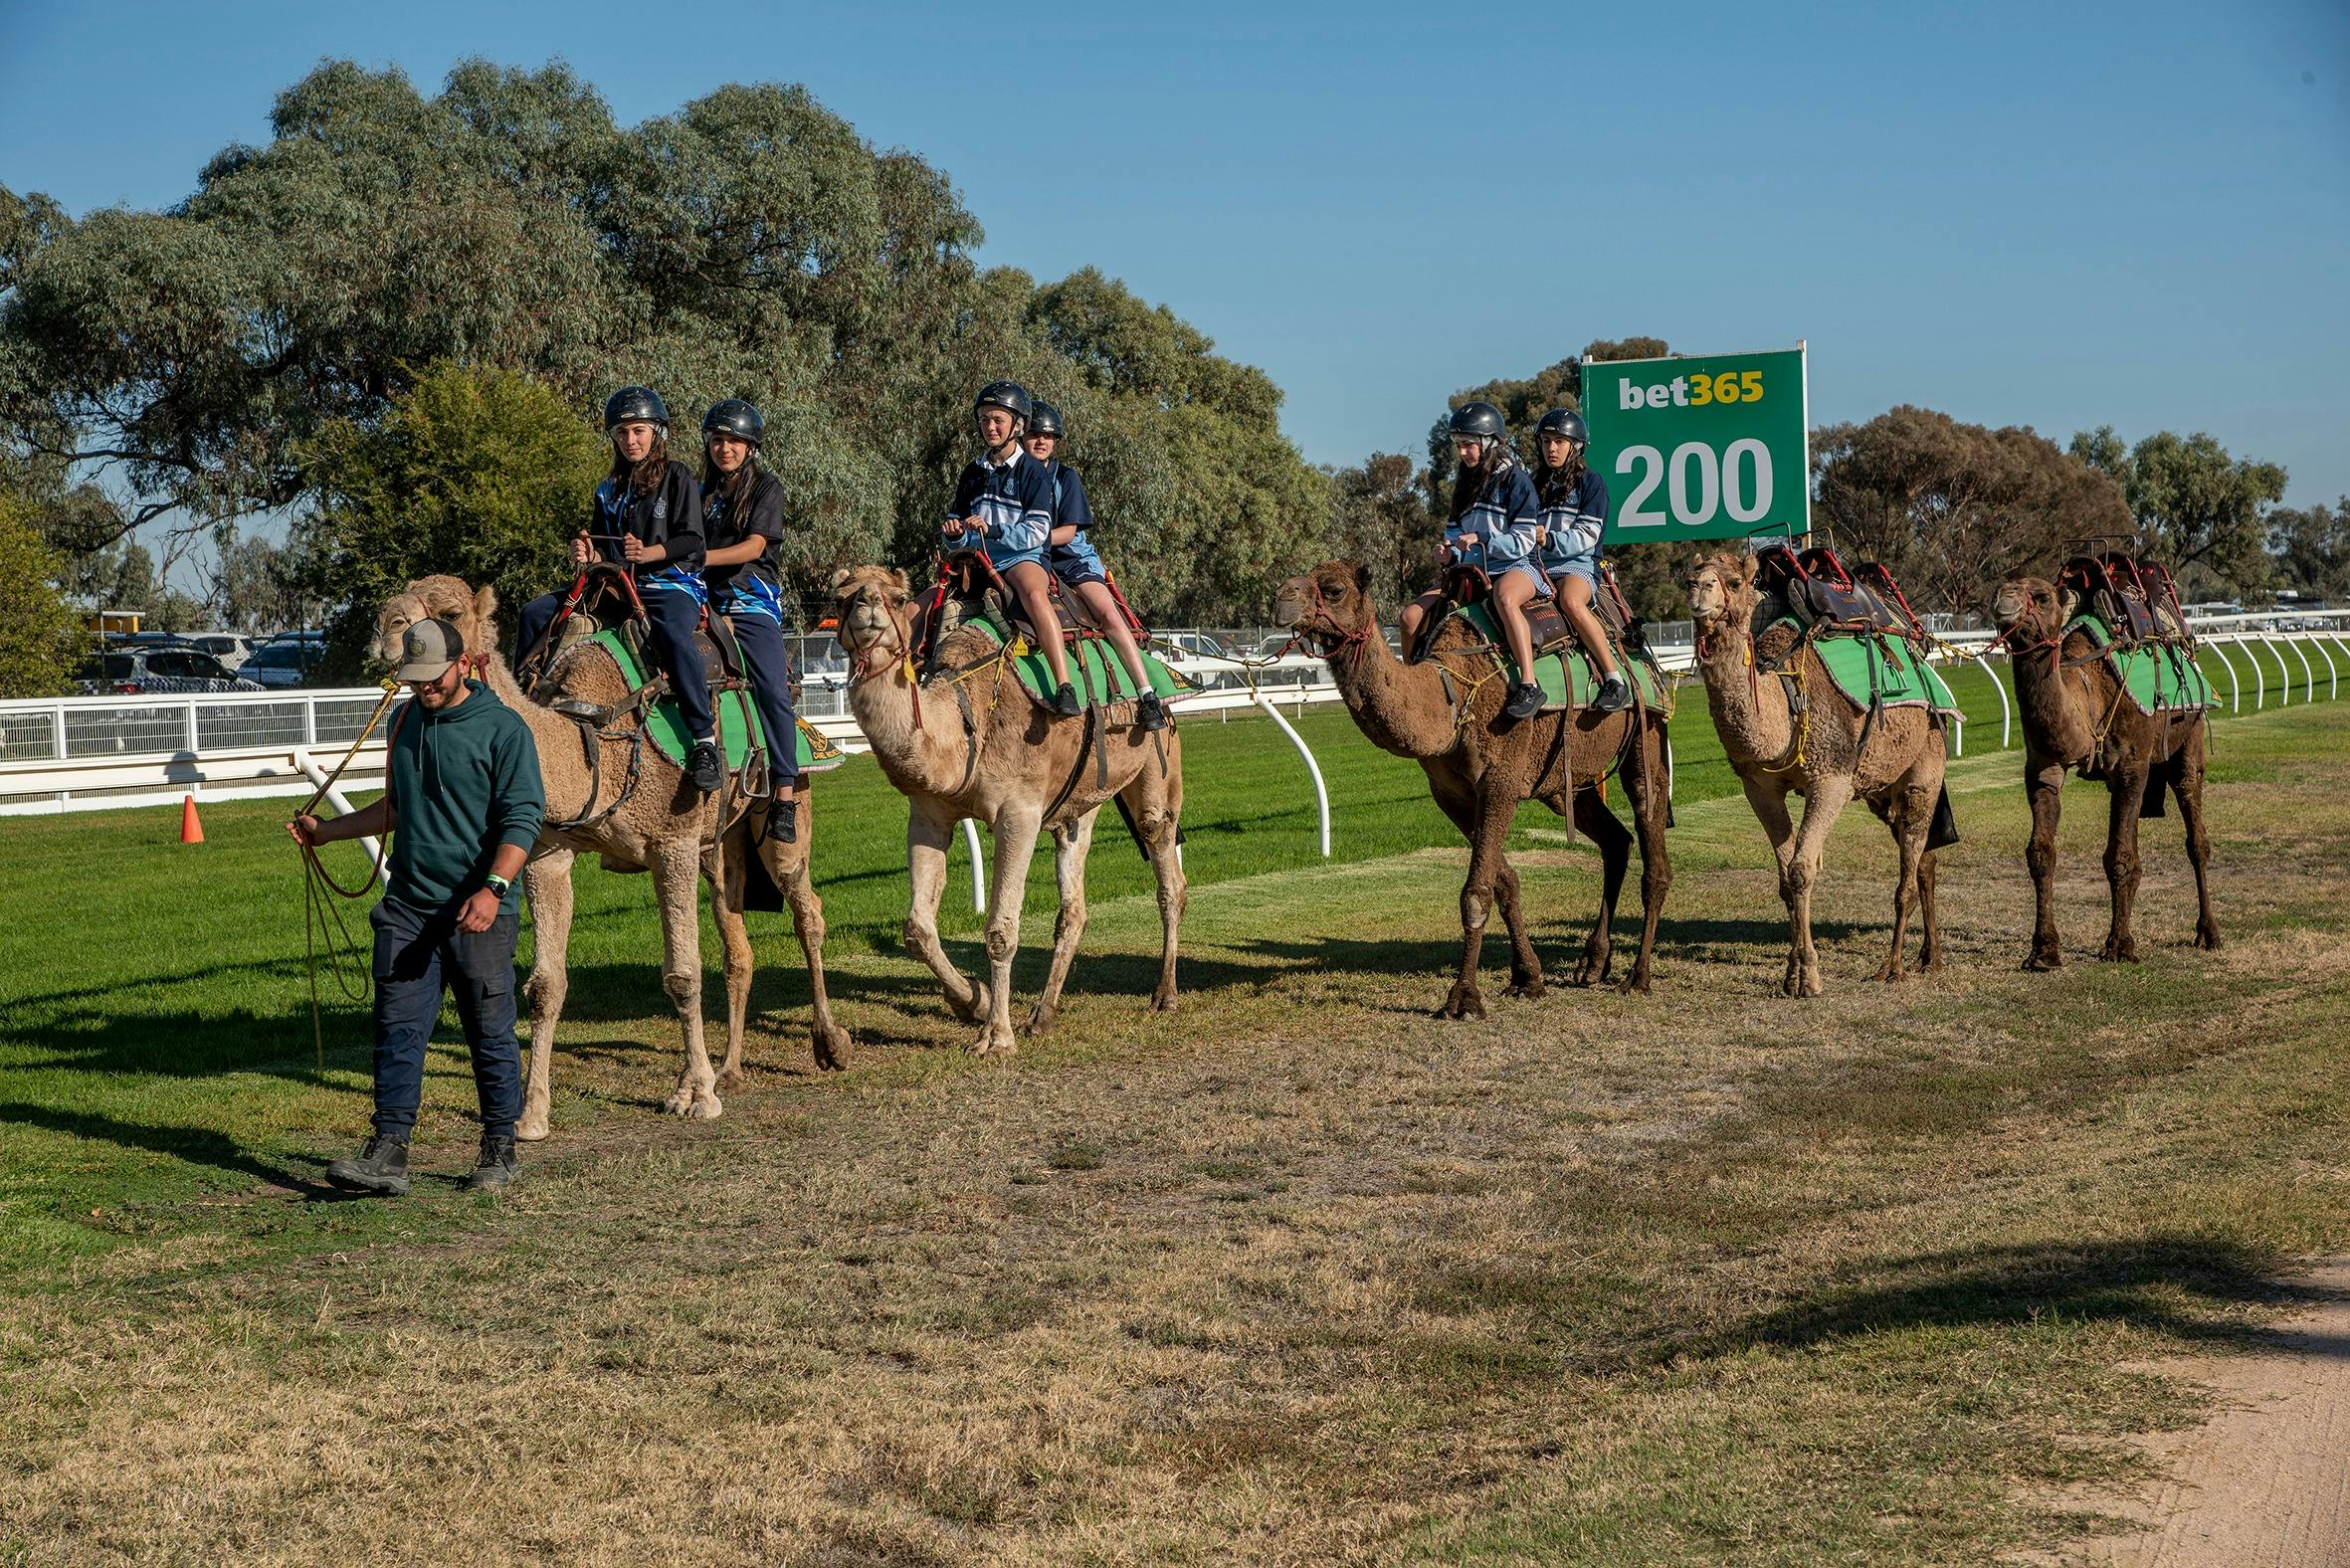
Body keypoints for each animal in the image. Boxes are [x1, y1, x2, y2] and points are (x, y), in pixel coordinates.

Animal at [372, 576, 847, 1138]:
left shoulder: (671, 843)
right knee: (737, 940)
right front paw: (532, 1115)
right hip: (719, 847)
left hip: (781, 814)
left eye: (449, 612)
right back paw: (730, 1070)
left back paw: (829, 1045)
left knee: (808, 909)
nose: (388, 630)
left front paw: (696, 1095)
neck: (591, 743)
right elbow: (545, 985)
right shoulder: (549, 854)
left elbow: (683, 974)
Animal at [828, 565, 1184, 1054]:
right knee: (1074, 902)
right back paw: (1043, 1014)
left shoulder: (1019, 813)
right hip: (1081, 800)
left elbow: (1001, 929)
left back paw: (1164, 994)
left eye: (898, 599)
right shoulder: (928, 814)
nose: (867, 606)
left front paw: (995, 1037)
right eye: (839, 598)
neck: (964, 721)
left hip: (1157, 758)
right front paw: (973, 1001)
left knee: (1167, 870)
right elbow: (917, 928)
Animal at [1271, 560, 1671, 1014]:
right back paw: (1592, 963)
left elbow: (1475, 892)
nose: (1281, 598)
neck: (1452, 694)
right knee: (1615, 840)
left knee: (1650, 837)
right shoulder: (1452, 795)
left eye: (1334, 589)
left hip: (1646, 732)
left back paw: (1638, 976)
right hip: (1564, 779)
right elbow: (1504, 882)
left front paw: (1463, 998)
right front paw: (1527, 978)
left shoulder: (1500, 780)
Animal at [1683, 551, 1947, 997]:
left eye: (1734, 582)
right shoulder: (1758, 787)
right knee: (1924, 860)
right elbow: (1784, 878)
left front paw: (1808, 977)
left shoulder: (1832, 779)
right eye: (1689, 576)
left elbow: (1801, 870)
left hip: (1925, 766)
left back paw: (1893, 966)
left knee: (1910, 872)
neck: (1786, 701)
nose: (1698, 589)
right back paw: (1930, 958)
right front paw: (1792, 974)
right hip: (1882, 790)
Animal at [1989, 575, 2219, 967]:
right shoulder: (2044, 768)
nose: (2003, 601)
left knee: (2195, 830)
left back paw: (2208, 933)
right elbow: (2041, 854)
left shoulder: (2131, 766)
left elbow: (2118, 858)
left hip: (2190, 734)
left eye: (2042, 597)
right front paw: (2043, 951)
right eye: (2001, 587)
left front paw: (2119, 946)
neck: (2087, 690)